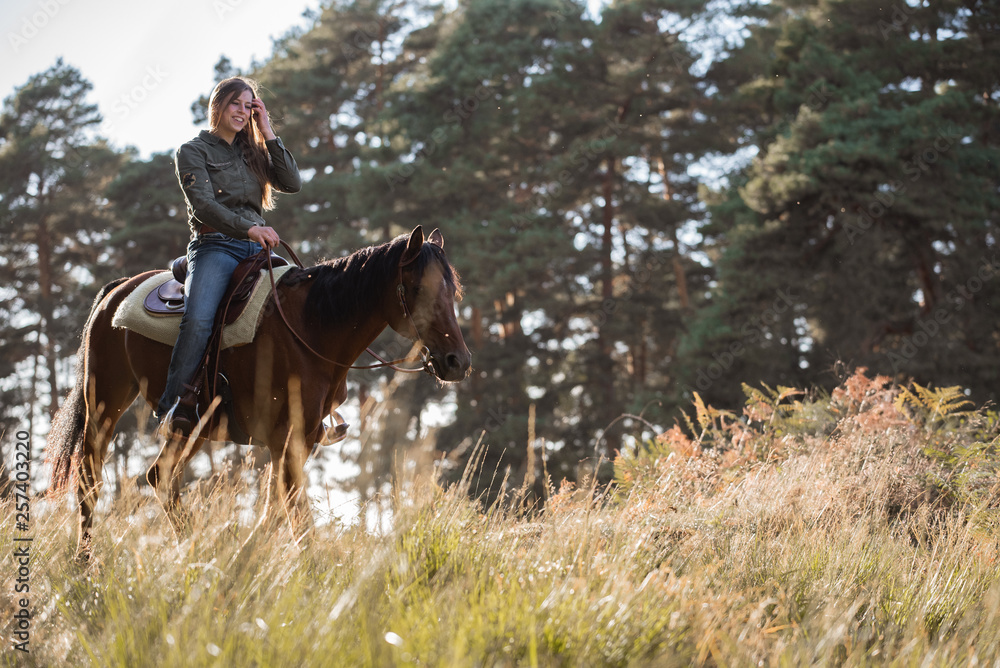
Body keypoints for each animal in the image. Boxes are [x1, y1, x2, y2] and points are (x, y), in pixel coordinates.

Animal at [46, 227, 468, 556]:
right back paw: (89, 563)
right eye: (417, 288)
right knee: (90, 478)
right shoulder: (287, 437)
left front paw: (244, 557)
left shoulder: (300, 440)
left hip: (193, 426)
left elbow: (275, 510)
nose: (457, 361)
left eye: (453, 290)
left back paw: (192, 550)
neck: (312, 326)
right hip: (106, 401)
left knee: (160, 476)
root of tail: (118, 290)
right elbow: (296, 515)